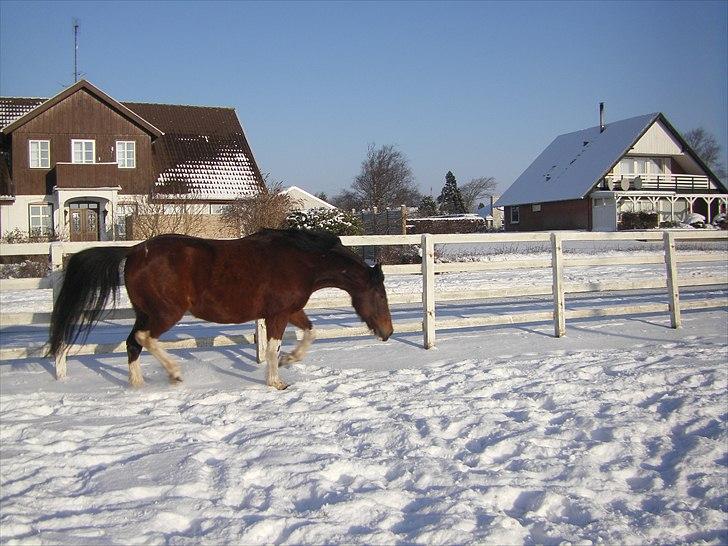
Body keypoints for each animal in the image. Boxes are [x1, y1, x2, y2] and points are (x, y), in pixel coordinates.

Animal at [47, 227, 392, 388]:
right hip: (164, 313)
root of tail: (134, 251)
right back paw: (174, 373)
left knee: (133, 343)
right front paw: (276, 381)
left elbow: (310, 333)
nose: (388, 332)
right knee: (144, 339)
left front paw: (290, 360)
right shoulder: (278, 315)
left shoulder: (290, 311)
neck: (301, 260)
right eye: (381, 295)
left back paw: (139, 385)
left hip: (145, 312)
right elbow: (272, 347)